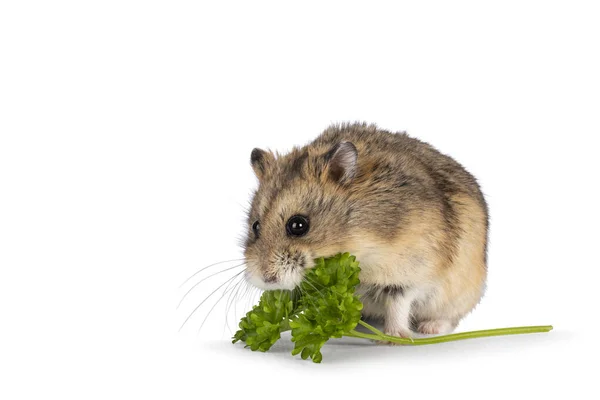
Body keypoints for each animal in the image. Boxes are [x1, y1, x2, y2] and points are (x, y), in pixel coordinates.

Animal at [243, 122, 488, 338]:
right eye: (255, 226)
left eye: (298, 225)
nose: (266, 279)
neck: (356, 239)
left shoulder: (410, 272)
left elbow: (398, 304)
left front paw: (394, 338)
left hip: (461, 294)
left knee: (448, 318)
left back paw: (429, 329)